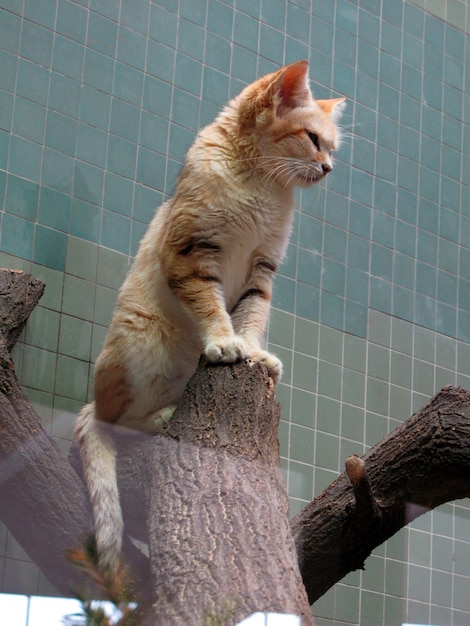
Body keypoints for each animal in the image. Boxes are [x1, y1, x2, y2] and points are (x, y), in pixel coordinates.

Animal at [74, 58, 346, 572]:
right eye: (312, 139)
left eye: (332, 147)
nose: (328, 169)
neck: (263, 185)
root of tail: (91, 402)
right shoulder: (191, 253)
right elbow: (211, 305)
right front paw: (224, 341)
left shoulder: (262, 269)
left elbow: (252, 315)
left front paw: (255, 352)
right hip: (141, 347)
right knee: (117, 422)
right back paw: (161, 417)